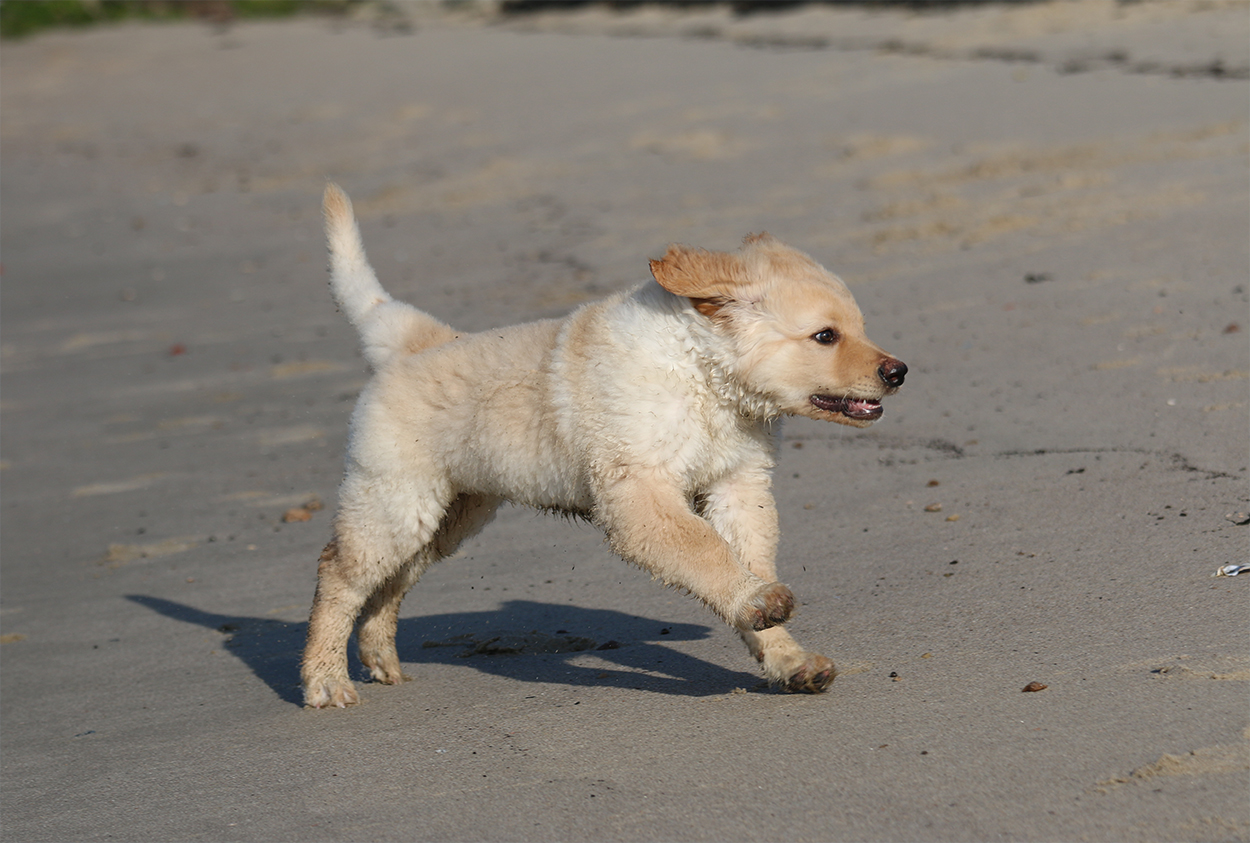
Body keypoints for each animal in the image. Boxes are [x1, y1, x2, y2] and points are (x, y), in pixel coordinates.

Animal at [301, 183, 906, 708]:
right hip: (394, 500)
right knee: (339, 574)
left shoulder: (739, 485)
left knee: (391, 583)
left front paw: (787, 658)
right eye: (825, 336)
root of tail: (413, 341)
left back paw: (381, 661)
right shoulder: (637, 492)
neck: (704, 378)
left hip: (450, 514)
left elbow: (748, 558)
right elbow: (704, 549)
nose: (898, 372)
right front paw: (756, 602)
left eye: (859, 327)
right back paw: (325, 682)